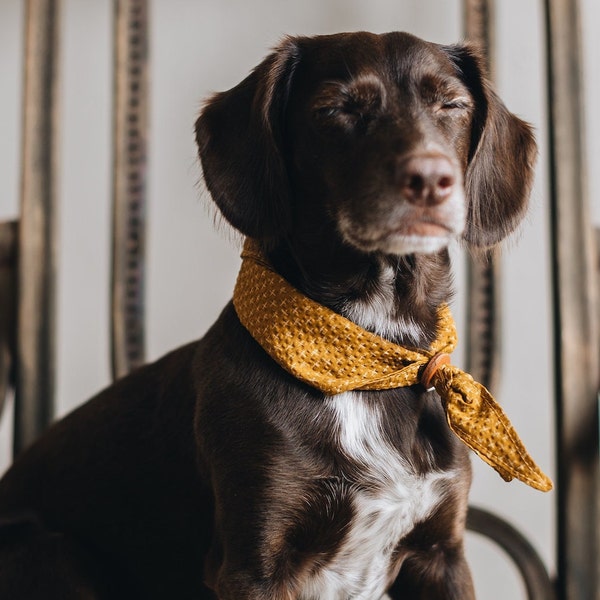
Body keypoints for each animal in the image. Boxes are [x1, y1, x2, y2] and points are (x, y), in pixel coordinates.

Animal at [0, 32, 536, 600]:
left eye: (452, 105)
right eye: (336, 109)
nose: (431, 179)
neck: (368, 365)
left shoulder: (441, 554)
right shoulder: (253, 565)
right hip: (51, 552)